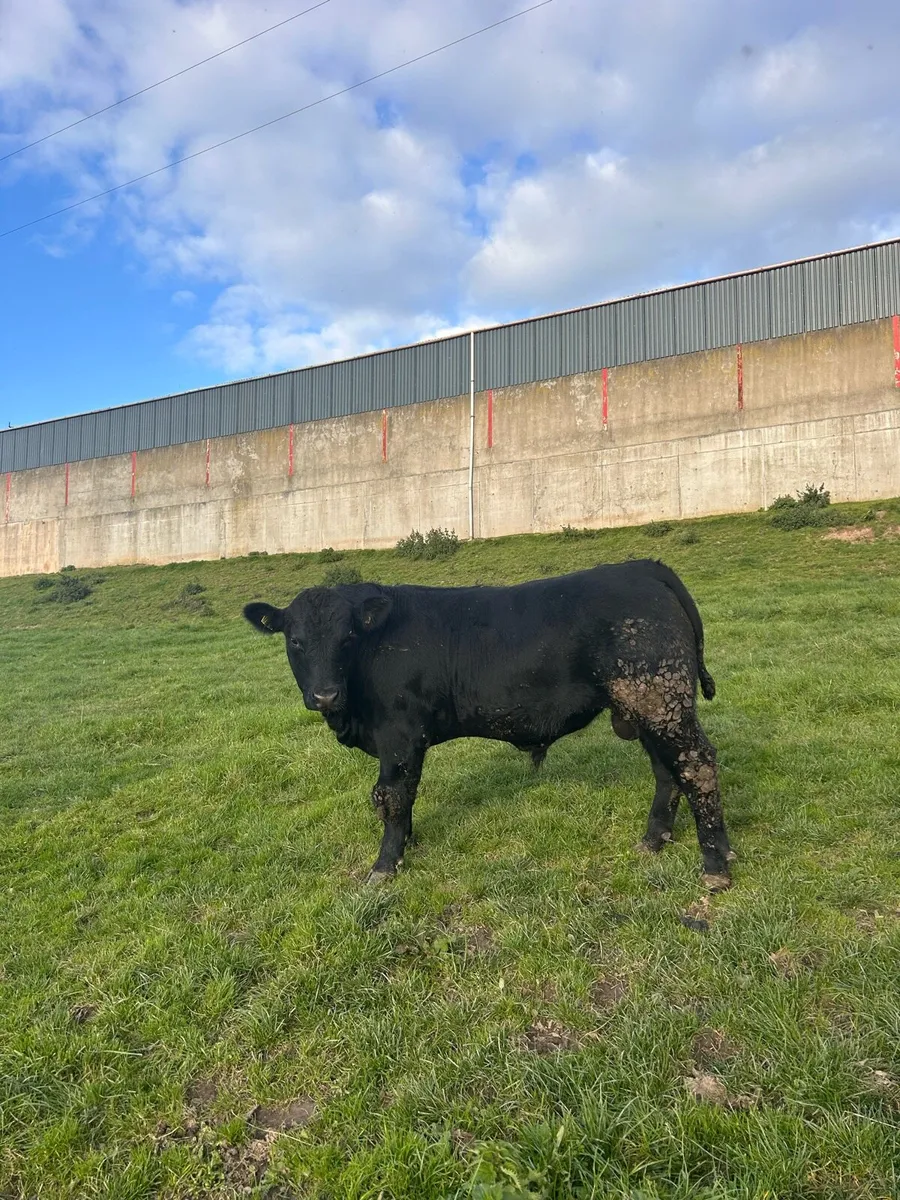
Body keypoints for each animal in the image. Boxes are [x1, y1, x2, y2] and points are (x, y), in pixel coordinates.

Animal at [244, 559, 734, 891]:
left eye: (347, 637)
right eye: (295, 641)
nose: (325, 695)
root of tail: (642, 568)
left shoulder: (400, 737)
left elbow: (393, 797)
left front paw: (385, 866)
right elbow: (402, 799)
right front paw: (407, 848)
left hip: (660, 699)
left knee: (696, 765)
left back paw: (715, 867)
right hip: (644, 706)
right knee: (667, 771)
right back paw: (653, 841)